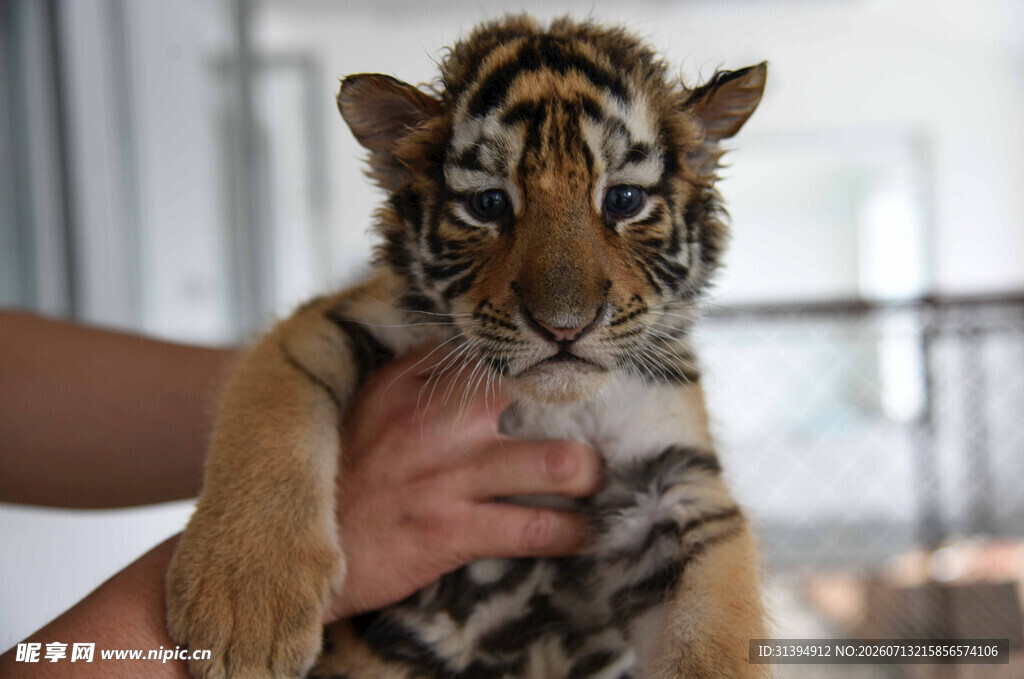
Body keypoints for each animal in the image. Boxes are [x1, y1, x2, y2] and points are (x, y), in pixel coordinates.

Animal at [166, 15, 769, 679]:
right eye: (489, 204)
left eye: (623, 200)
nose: (564, 327)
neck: (550, 408)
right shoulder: (327, 322)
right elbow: (271, 414)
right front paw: (242, 607)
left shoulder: (669, 480)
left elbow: (711, 632)